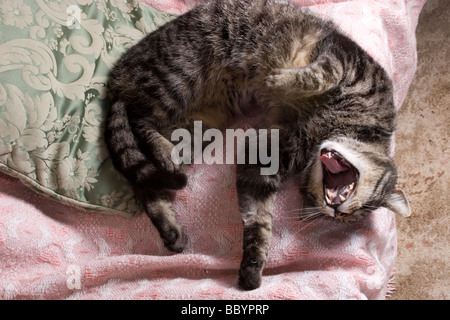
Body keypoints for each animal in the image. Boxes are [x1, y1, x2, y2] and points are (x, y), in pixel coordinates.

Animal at [104, 0, 412, 290]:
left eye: (347, 219)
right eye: (364, 207)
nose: (339, 211)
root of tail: (116, 78)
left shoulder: (265, 153)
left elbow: (259, 220)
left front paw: (253, 267)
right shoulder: (342, 57)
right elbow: (318, 75)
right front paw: (279, 79)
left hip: (196, 127)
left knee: (143, 177)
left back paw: (170, 225)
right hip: (176, 77)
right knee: (136, 118)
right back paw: (163, 151)